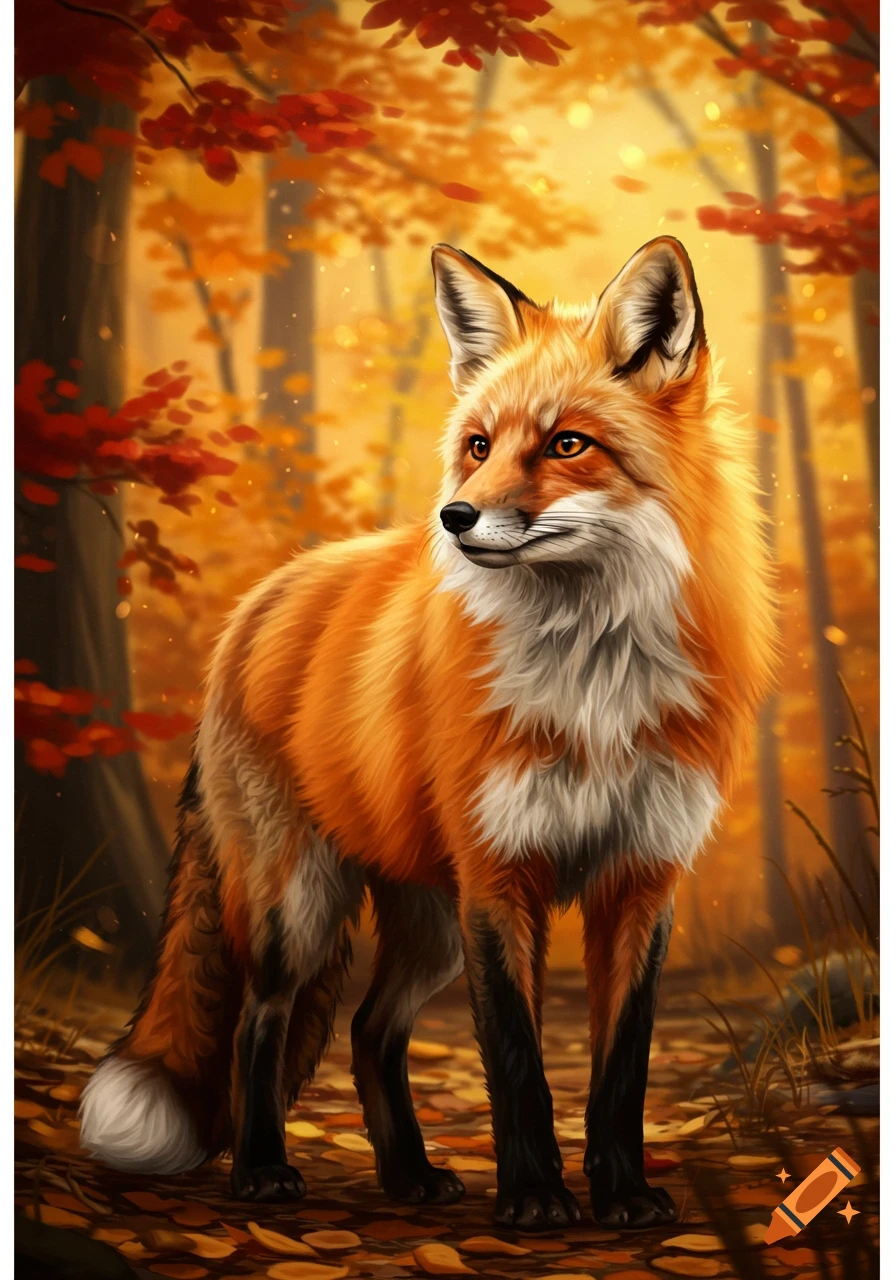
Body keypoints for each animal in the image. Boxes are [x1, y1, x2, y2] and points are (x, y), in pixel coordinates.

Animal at [80, 237, 776, 1231]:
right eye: (479, 446)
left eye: (567, 444)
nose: (455, 519)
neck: (593, 680)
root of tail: (262, 597)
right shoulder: (500, 874)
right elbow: (518, 1060)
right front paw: (534, 1199)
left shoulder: (641, 878)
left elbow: (621, 1068)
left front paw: (623, 1194)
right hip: (302, 905)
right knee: (261, 1024)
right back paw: (262, 1170)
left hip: (429, 923)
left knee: (370, 1030)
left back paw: (407, 1175)